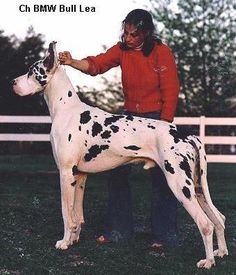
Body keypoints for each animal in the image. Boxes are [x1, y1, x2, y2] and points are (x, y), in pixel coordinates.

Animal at [12, 42, 228, 268]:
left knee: (206, 224)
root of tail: (188, 135)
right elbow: (77, 215)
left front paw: (63, 243)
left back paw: (208, 261)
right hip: (198, 186)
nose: (12, 83)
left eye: (31, 71)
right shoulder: (79, 176)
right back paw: (221, 252)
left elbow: (66, 213)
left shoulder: (65, 173)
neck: (65, 109)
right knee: (219, 219)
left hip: (180, 185)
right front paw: (73, 240)